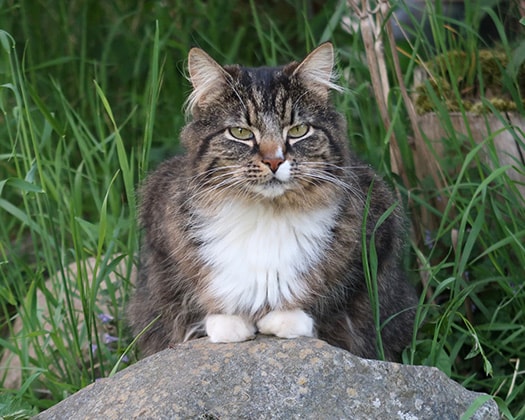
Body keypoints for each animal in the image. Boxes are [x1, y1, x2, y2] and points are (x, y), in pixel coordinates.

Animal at [125, 44, 416, 362]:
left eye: (298, 130)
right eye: (241, 133)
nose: (275, 161)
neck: (266, 214)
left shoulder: (375, 242)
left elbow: (335, 308)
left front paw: (284, 319)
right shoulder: (161, 242)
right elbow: (188, 303)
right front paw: (229, 324)